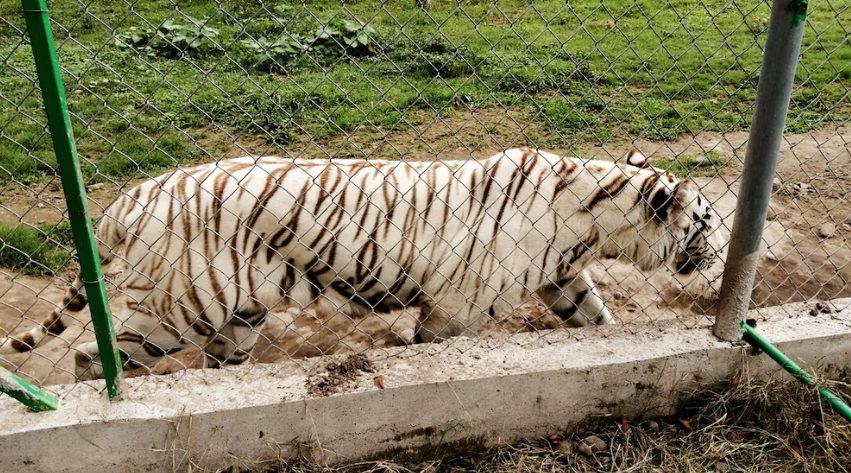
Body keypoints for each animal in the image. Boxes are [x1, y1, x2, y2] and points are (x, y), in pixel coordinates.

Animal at [0, 147, 719, 380]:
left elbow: (596, 320)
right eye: (708, 221)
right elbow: (431, 348)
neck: (593, 220)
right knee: (92, 356)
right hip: (179, 307)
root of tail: (132, 195)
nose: (716, 254)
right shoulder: (455, 307)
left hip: (237, 316)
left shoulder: (562, 276)